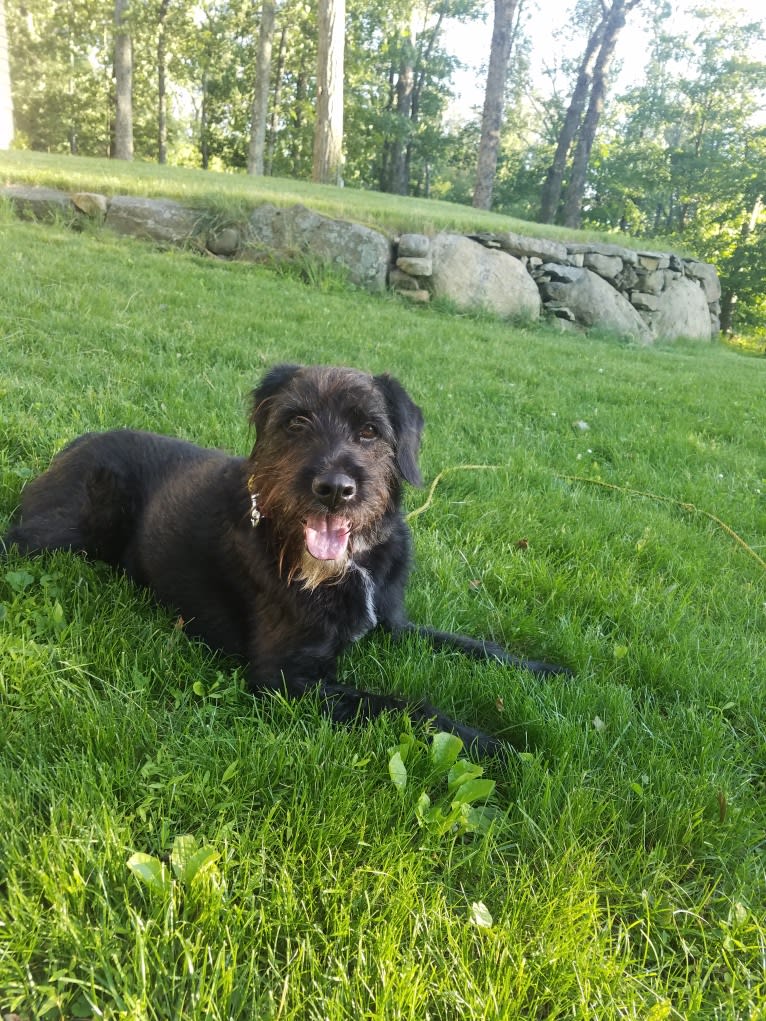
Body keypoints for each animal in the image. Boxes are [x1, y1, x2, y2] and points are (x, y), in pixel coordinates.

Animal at [4, 363, 571, 755]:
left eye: (370, 430)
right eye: (296, 422)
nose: (334, 489)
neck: (347, 567)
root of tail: (72, 445)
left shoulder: (395, 626)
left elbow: (474, 646)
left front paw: (548, 671)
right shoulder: (286, 678)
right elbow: (407, 705)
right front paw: (499, 746)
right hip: (65, 532)